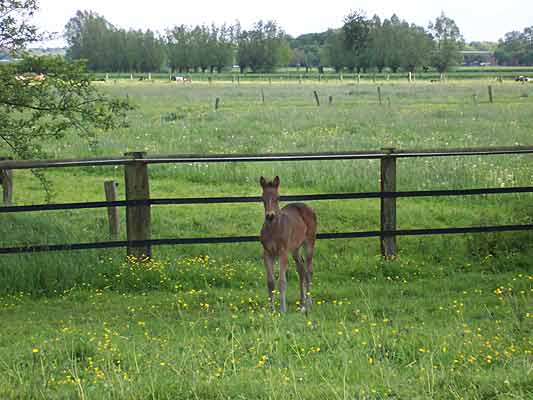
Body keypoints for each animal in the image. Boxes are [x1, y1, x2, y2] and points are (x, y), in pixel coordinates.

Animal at [258, 176, 316, 312]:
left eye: (277, 197)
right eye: (262, 197)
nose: (270, 216)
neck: (274, 229)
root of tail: (308, 207)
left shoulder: (283, 252)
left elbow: (282, 282)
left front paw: (283, 310)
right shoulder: (267, 253)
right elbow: (270, 282)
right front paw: (272, 310)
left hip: (309, 243)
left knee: (309, 270)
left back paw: (308, 303)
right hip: (295, 248)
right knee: (301, 268)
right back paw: (302, 302)